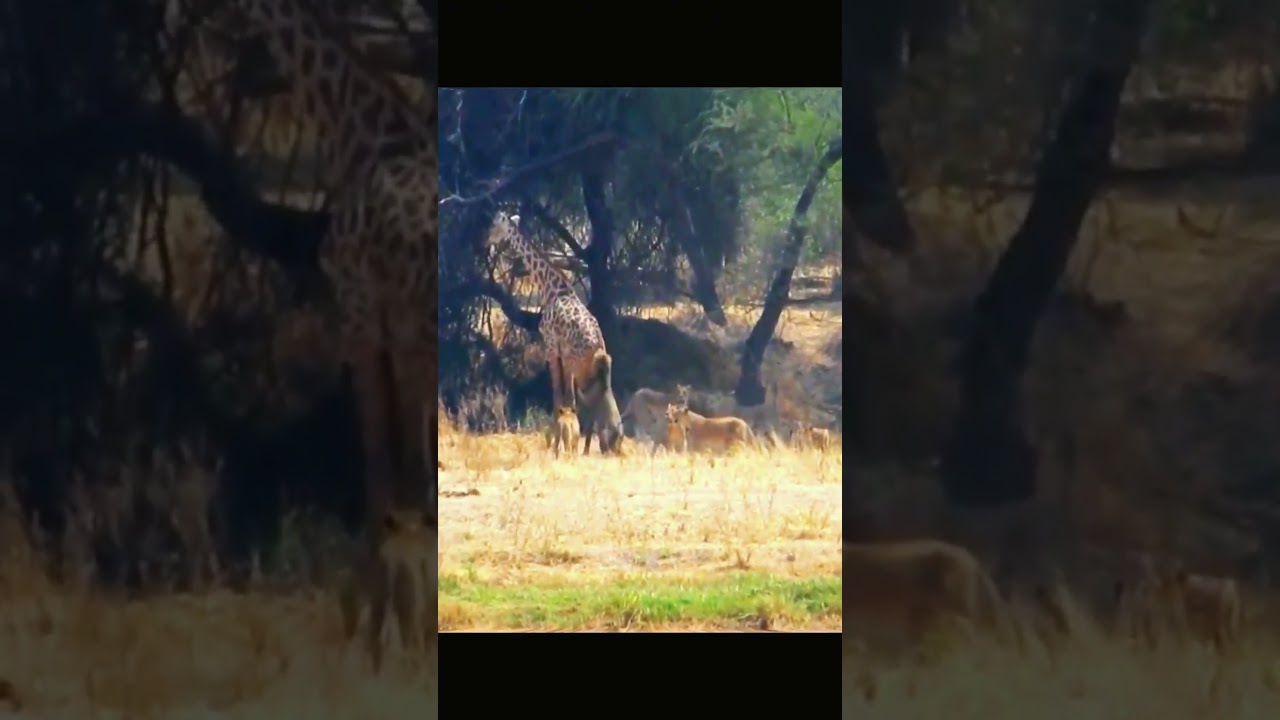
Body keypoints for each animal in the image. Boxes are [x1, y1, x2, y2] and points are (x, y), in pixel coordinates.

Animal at [486, 212, 607, 415]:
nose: (486, 240)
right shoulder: (562, 351)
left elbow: (558, 395)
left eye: (495, 226)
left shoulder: (550, 344)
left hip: (580, 365)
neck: (551, 287)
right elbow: (568, 398)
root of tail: (598, 344)